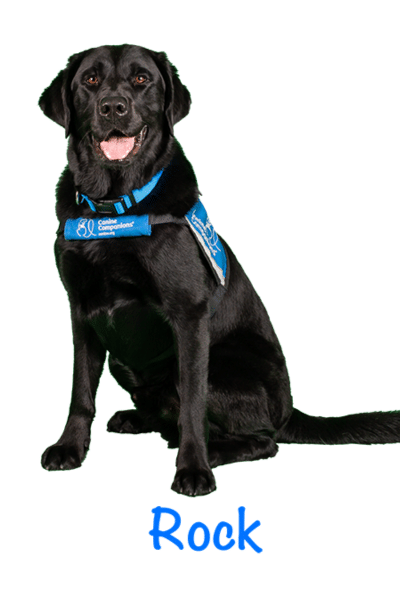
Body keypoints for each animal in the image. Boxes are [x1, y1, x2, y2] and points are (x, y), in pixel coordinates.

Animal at [39, 44, 400, 496]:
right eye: (90, 80)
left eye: (141, 79)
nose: (113, 106)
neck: (115, 210)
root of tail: (289, 410)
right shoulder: (82, 312)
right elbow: (80, 392)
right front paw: (69, 448)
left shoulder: (189, 315)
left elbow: (192, 404)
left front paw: (193, 469)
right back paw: (138, 420)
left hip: (222, 366)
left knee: (263, 439)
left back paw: (209, 452)